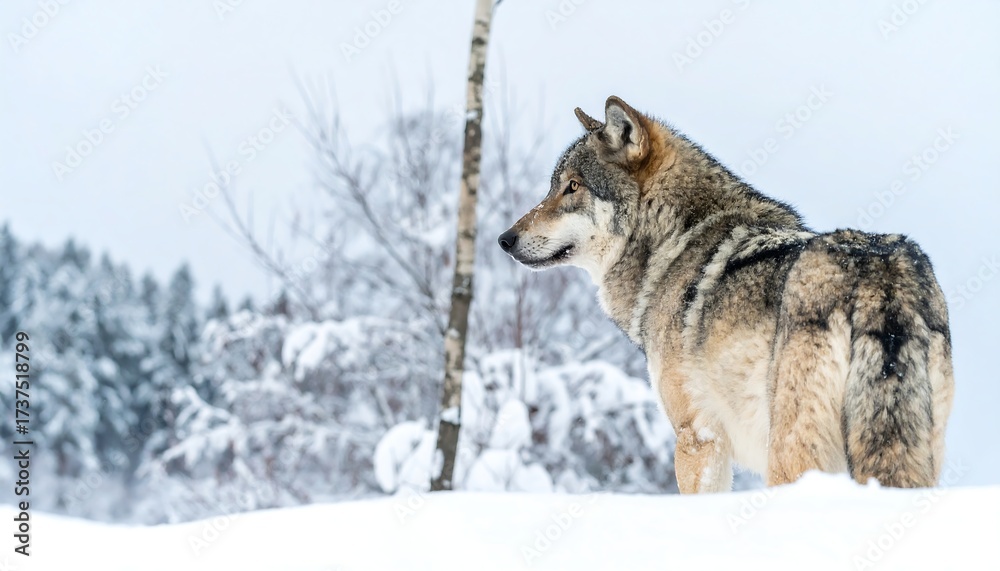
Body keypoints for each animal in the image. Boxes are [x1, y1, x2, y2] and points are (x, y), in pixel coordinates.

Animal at [498, 96, 955, 492]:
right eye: (554, 186)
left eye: (572, 186)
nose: (504, 239)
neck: (672, 241)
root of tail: (882, 277)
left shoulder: (698, 439)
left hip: (791, 454)